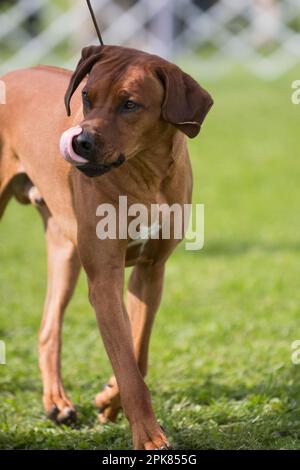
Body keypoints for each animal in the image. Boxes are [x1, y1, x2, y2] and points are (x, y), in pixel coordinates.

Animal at [0, 46, 213, 450]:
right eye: (86, 96)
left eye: (130, 104)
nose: (80, 143)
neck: (145, 174)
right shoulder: (104, 280)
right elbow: (128, 366)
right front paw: (149, 437)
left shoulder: (151, 271)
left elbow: (137, 352)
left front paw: (109, 400)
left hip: (65, 250)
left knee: (49, 327)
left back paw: (56, 402)